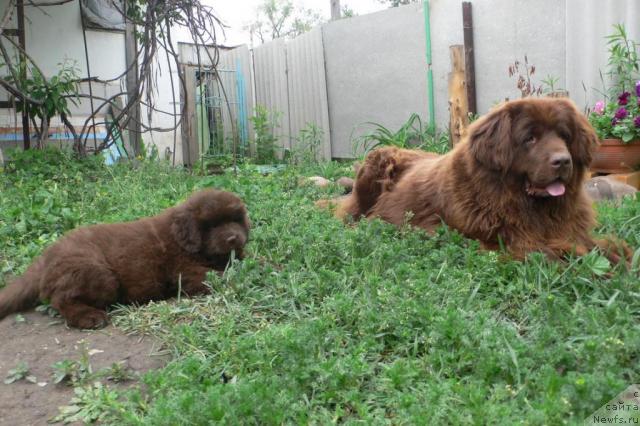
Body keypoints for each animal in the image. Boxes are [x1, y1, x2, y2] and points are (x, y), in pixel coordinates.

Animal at [0, 190, 249, 330]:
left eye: (235, 220)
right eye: (212, 225)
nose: (233, 238)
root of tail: (45, 257)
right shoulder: (185, 270)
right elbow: (216, 276)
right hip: (98, 275)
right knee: (62, 299)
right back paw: (89, 317)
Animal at [332, 97, 632, 262]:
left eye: (564, 136)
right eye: (530, 138)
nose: (562, 161)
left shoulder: (569, 228)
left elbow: (599, 244)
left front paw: (618, 258)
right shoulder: (495, 241)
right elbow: (553, 252)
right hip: (375, 163)